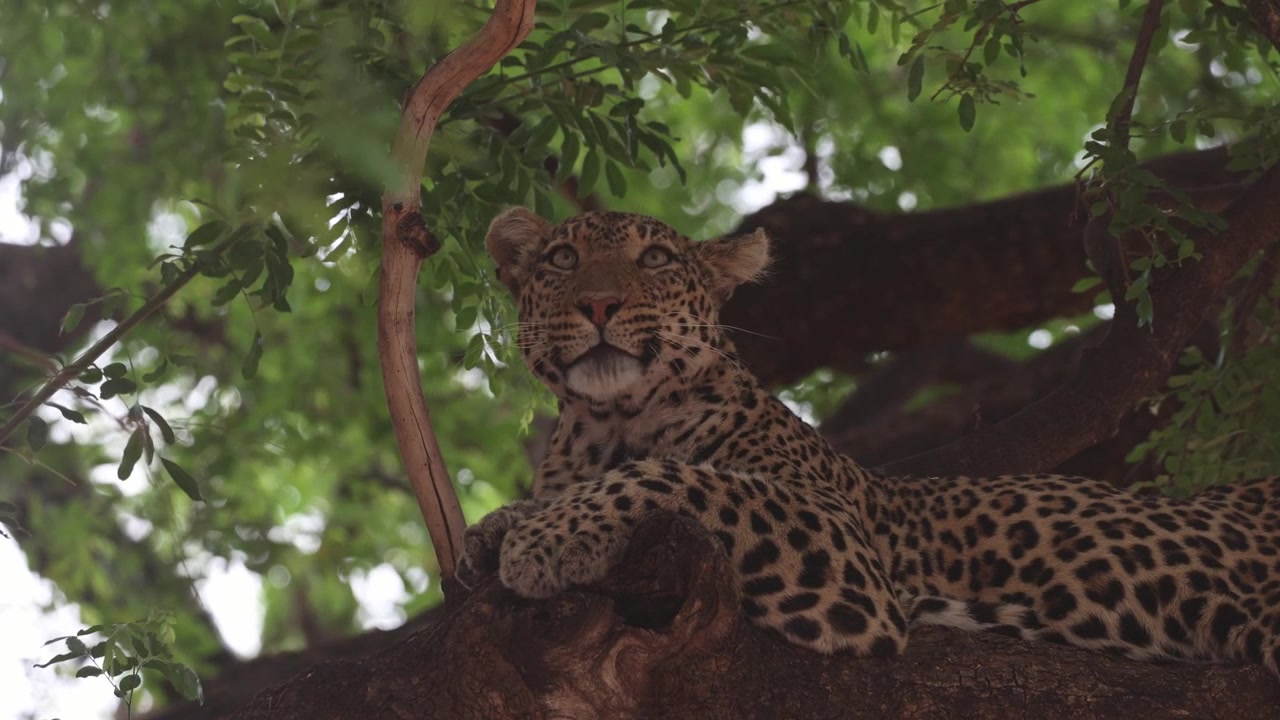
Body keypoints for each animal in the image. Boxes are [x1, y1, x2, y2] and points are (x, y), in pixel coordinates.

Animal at [463, 206, 1280, 676]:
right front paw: (501, 526)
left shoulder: (838, 541)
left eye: (656, 261)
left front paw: (548, 538)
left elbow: (682, 476)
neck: (610, 425)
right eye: (562, 260)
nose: (599, 304)